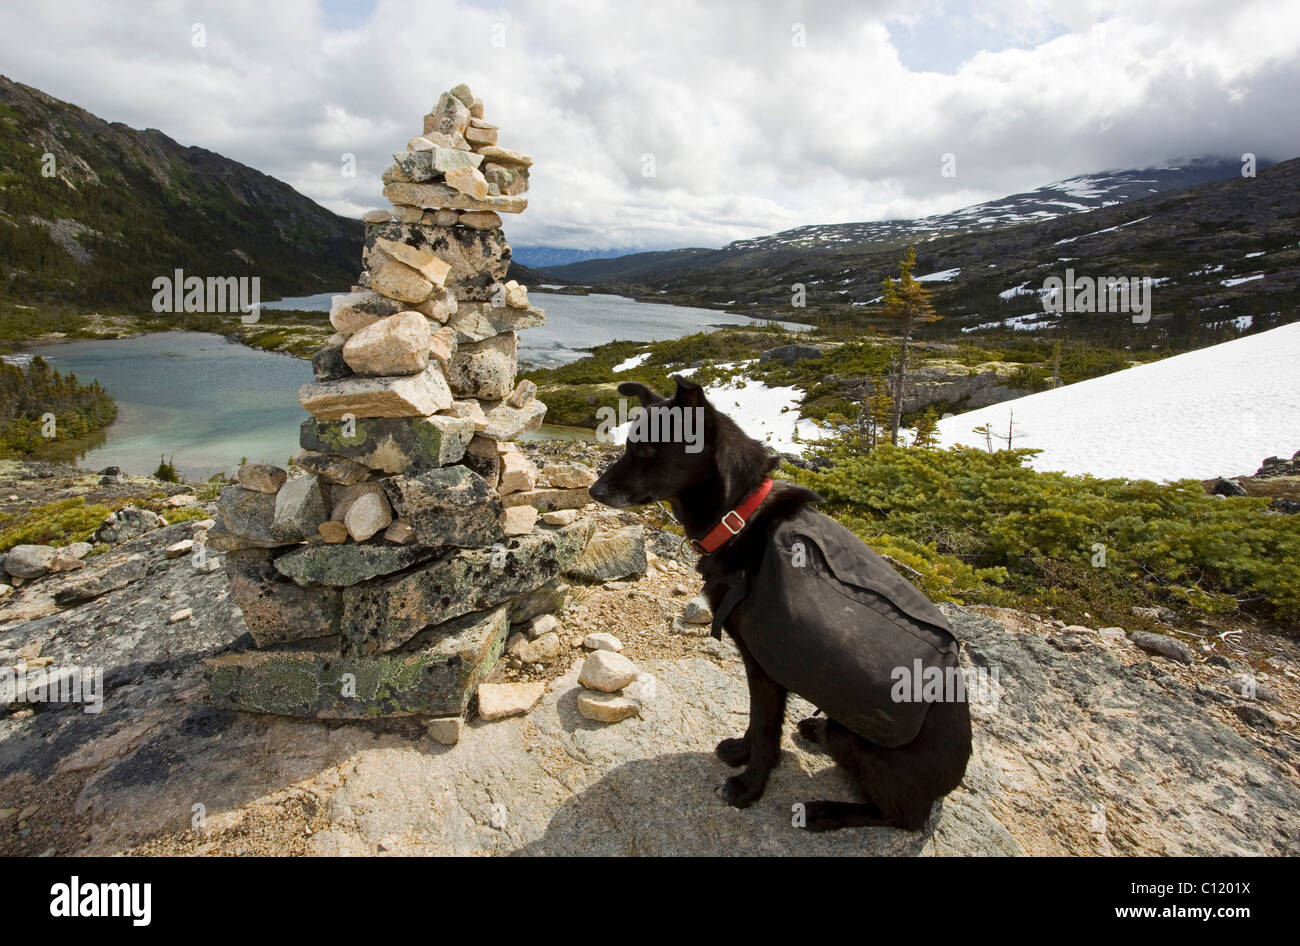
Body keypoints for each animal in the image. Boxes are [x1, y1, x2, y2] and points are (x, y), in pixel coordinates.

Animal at [595, 374, 972, 831]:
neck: (738, 519)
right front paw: (741, 754)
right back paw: (817, 732)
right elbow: (758, 723)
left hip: (872, 757)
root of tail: (947, 786)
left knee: (898, 818)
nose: (594, 490)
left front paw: (749, 785)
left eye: (648, 449)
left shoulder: (766, 667)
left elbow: (764, 727)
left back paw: (824, 811)